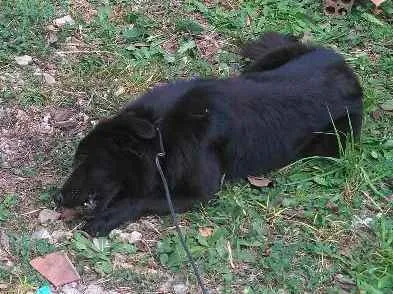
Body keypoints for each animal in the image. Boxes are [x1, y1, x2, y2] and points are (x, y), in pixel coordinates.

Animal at [55, 32, 362, 235]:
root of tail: (347, 70)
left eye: (86, 161)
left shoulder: (200, 194)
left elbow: (140, 199)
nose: (57, 198)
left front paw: (109, 217)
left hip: (335, 142)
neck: (162, 133)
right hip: (265, 63)